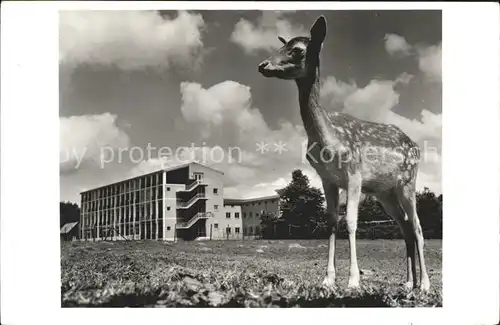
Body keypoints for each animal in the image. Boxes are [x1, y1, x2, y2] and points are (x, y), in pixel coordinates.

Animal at [258, 15, 430, 290]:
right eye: (282, 46)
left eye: (298, 50)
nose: (262, 65)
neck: (329, 140)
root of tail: (415, 147)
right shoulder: (327, 179)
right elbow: (331, 223)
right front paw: (328, 279)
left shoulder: (354, 174)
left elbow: (350, 222)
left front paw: (353, 280)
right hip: (385, 193)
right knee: (405, 226)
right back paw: (407, 283)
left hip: (407, 181)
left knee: (417, 226)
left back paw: (423, 284)